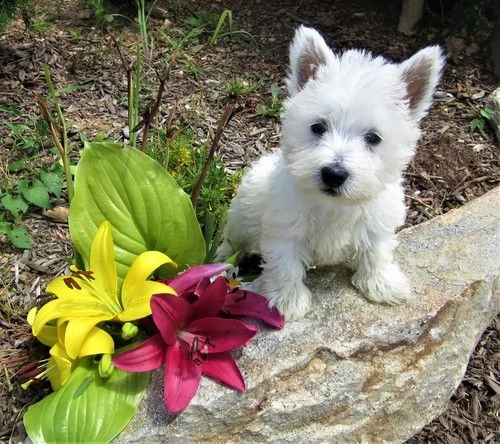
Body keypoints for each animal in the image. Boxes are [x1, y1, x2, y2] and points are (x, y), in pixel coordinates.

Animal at [219, 26, 446, 320]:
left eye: (373, 137)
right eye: (318, 127)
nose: (334, 174)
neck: (335, 206)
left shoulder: (377, 223)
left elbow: (377, 252)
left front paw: (382, 284)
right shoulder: (285, 229)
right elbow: (285, 264)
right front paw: (287, 300)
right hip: (242, 217)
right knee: (231, 241)